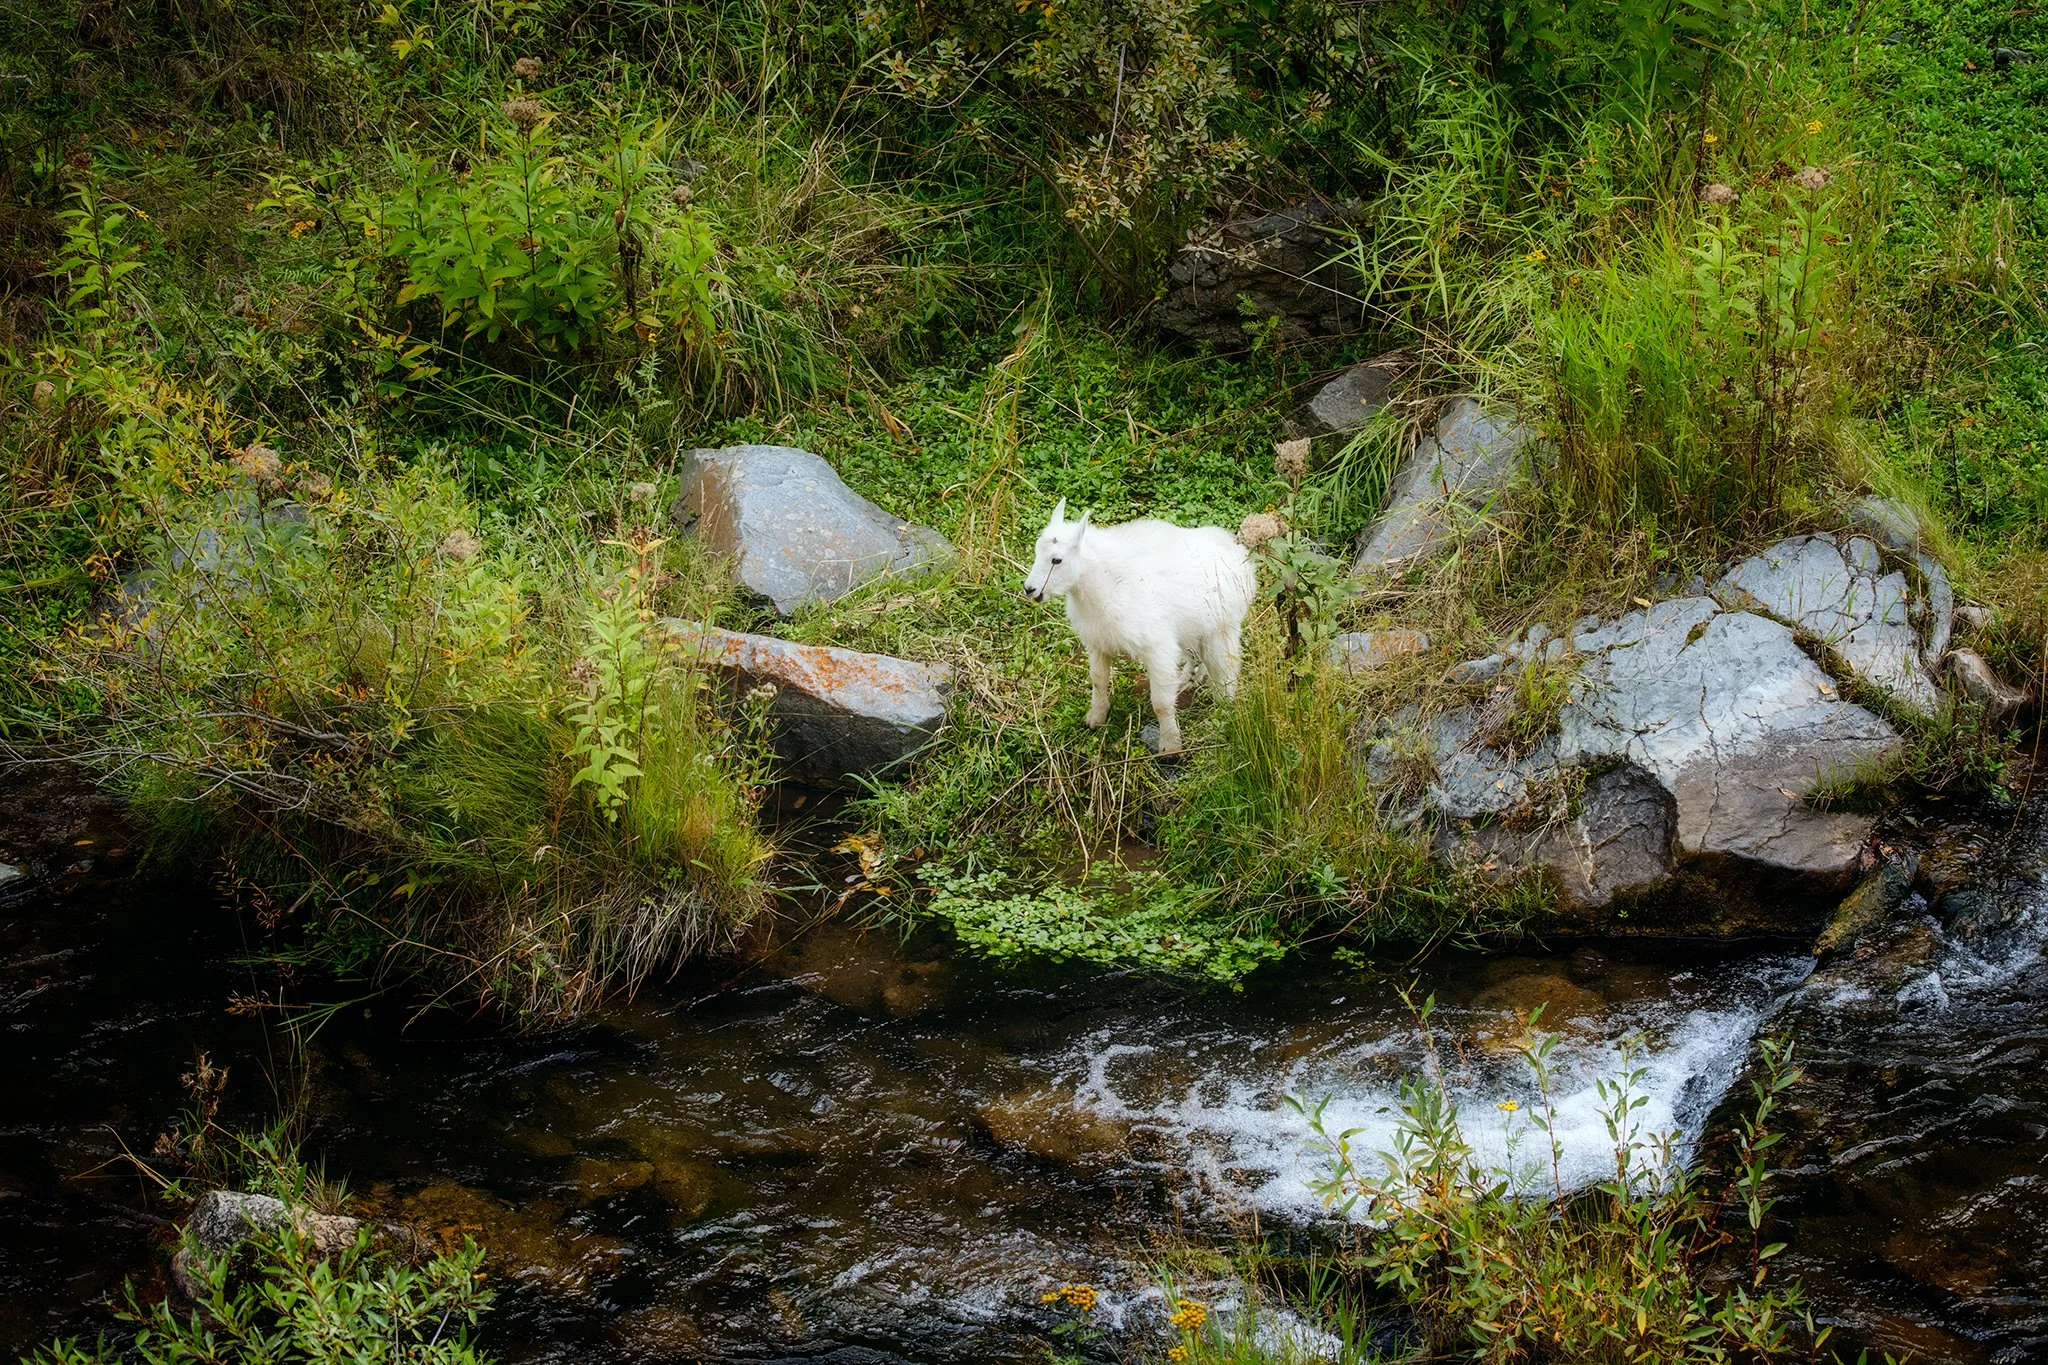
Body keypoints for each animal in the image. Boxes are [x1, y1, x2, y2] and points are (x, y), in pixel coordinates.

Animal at [1022, 499, 1257, 754]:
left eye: (1057, 560)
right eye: (1036, 551)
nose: (1030, 589)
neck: (1105, 584)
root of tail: (1237, 552)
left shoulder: (1157, 647)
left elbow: (1161, 703)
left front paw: (1170, 745)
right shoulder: (1098, 643)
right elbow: (1098, 680)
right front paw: (1096, 718)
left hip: (1223, 628)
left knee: (1226, 670)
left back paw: (1224, 710)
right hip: (1193, 630)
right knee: (1197, 657)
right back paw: (1186, 680)